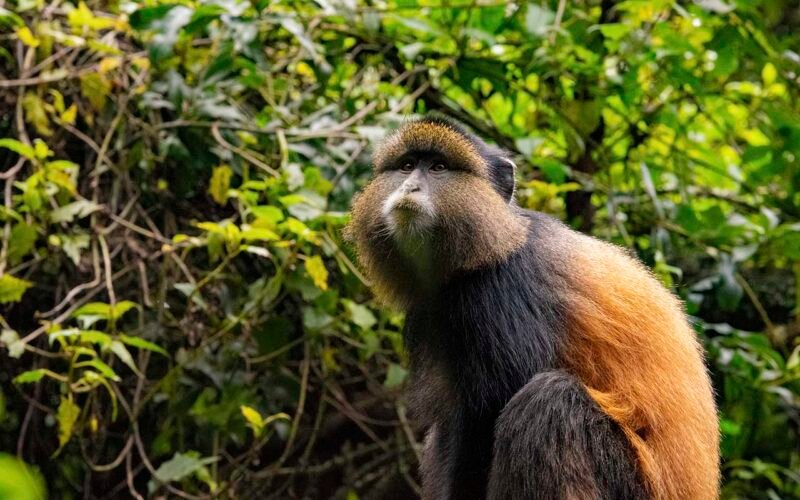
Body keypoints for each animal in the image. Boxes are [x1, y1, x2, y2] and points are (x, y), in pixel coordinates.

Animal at [345, 116, 720, 500]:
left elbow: (486, 419)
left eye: (439, 168)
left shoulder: (499, 292)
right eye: (407, 166)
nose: (410, 187)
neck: (494, 240)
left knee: (549, 403)